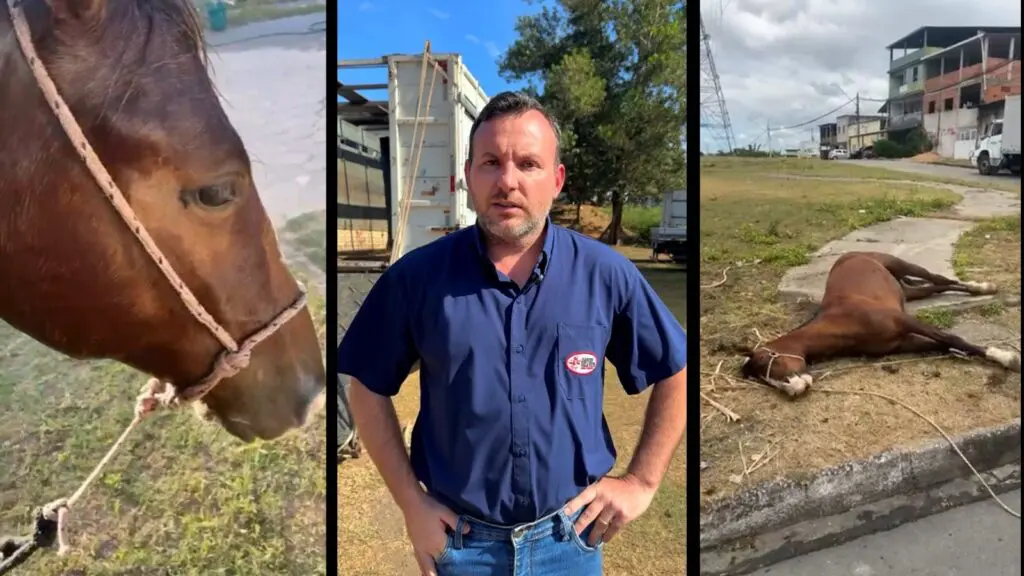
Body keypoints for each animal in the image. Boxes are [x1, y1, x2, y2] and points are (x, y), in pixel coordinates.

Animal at [741, 251, 1021, 396]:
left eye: (767, 362)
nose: (794, 391)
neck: (843, 323)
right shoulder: (904, 342)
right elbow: (943, 345)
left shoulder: (906, 321)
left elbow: (952, 338)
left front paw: (1006, 357)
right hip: (909, 291)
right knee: (936, 287)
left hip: (903, 265)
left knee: (939, 279)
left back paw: (982, 287)